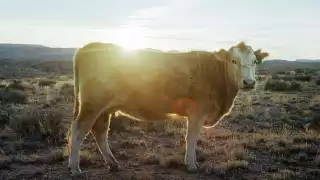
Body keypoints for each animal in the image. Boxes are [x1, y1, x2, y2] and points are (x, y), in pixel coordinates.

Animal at [67, 40, 270, 176]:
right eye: (234, 61)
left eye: (255, 61)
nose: (249, 82)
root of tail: (87, 47)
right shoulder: (197, 112)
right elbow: (191, 138)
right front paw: (191, 164)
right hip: (92, 105)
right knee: (78, 130)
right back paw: (75, 168)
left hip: (104, 109)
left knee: (100, 132)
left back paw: (112, 163)